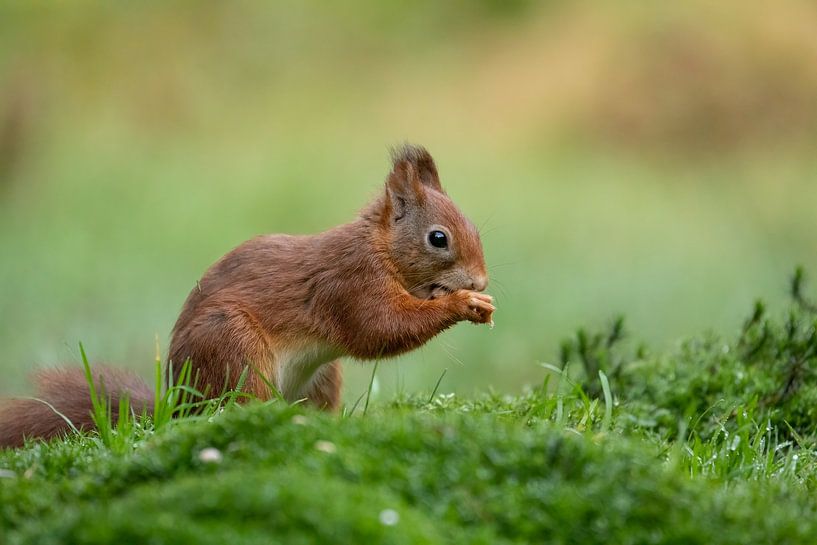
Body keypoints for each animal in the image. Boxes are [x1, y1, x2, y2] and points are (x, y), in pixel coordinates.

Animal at [0, 144, 494, 448]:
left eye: (473, 224)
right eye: (438, 238)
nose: (481, 282)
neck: (381, 248)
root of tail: (178, 401)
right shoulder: (351, 283)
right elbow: (379, 330)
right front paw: (460, 305)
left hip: (320, 377)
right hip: (233, 348)